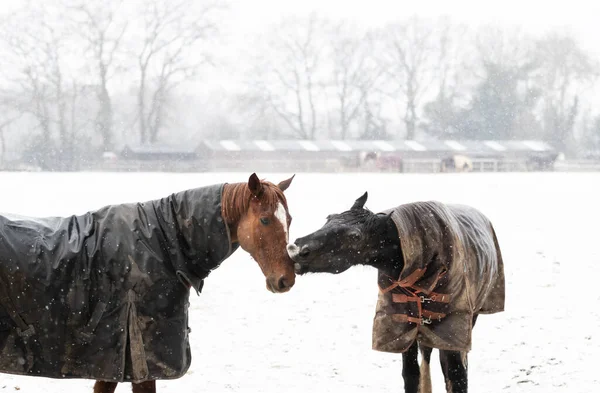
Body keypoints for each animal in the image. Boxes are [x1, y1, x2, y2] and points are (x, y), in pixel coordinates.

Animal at [288, 191, 504, 390]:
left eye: (355, 236)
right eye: (329, 217)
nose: (297, 249)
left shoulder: (453, 329)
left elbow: (456, 375)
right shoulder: (402, 328)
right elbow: (411, 374)